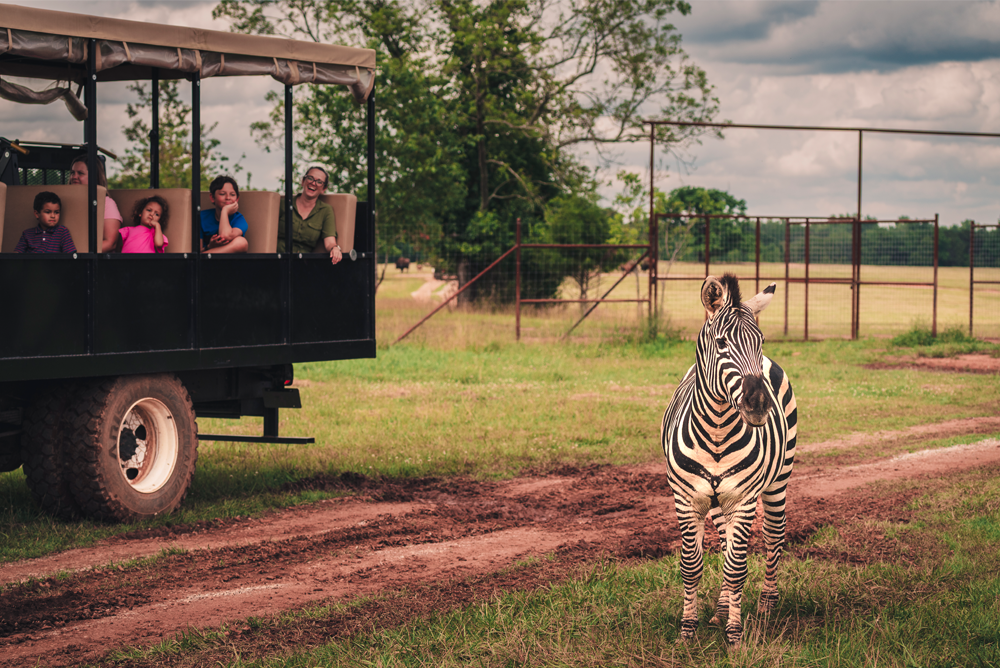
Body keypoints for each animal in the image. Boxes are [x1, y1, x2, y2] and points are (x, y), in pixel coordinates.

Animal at [660, 273, 797, 647]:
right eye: (721, 342)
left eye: (760, 340)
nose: (758, 404)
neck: (717, 431)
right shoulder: (686, 499)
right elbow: (691, 565)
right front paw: (687, 631)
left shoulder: (744, 499)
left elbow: (737, 567)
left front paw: (735, 636)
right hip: (719, 501)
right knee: (724, 543)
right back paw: (721, 609)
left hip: (778, 481)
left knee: (773, 534)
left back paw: (766, 605)